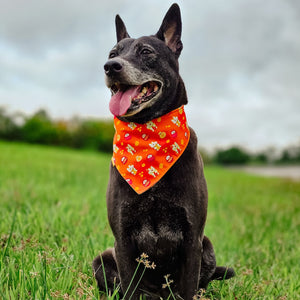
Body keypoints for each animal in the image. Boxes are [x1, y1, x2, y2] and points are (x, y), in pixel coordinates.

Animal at [93, 3, 234, 298]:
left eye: (146, 52)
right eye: (112, 53)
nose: (110, 67)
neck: (149, 140)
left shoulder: (193, 239)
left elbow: (189, 286)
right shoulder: (122, 239)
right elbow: (129, 286)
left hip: (208, 247)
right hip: (102, 258)